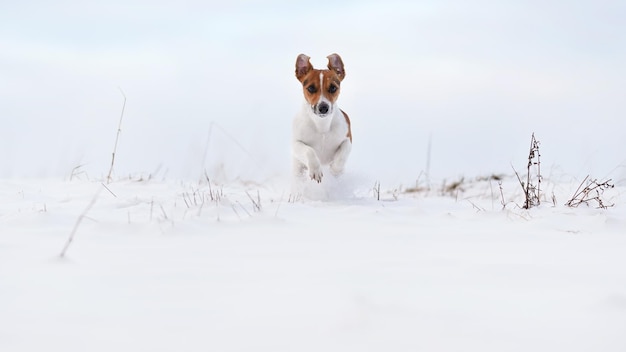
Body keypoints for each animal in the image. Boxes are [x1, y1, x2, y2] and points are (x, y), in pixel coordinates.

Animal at [290, 54, 348, 184]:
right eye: (311, 88)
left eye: (333, 88)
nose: (323, 108)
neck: (321, 124)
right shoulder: (296, 143)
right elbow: (308, 150)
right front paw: (315, 170)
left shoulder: (347, 138)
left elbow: (343, 152)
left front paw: (335, 169)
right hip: (297, 169)